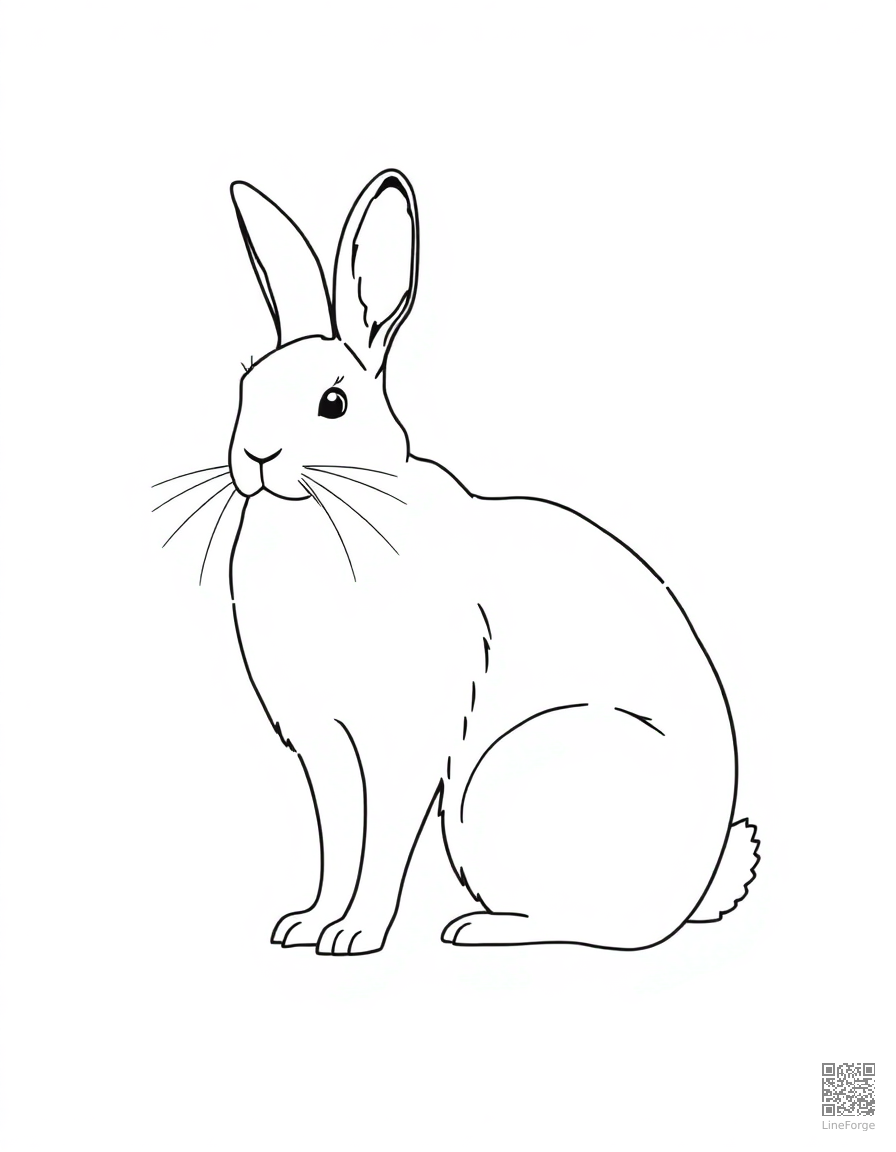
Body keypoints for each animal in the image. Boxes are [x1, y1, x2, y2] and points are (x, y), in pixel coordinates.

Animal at [220, 169, 759, 955]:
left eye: (333, 403)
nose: (255, 458)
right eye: (244, 389)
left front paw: (355, 937)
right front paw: (307, 925)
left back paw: (477, 928)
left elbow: (381, 843)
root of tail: (694, 888)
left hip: (505, 783)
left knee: (600, 928)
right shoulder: (325, 746)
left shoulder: (404, 739)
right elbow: (338, 839)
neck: (331, 502)